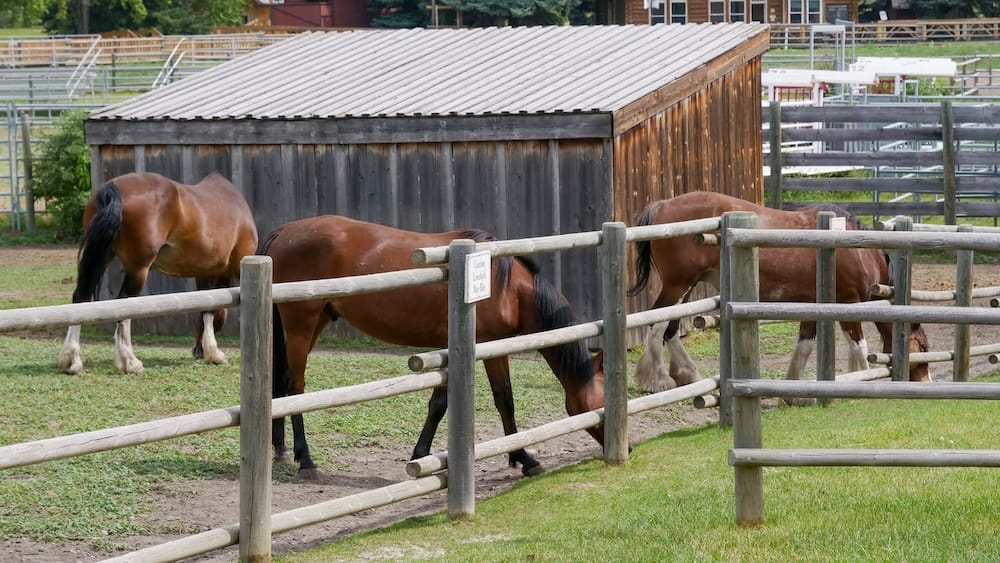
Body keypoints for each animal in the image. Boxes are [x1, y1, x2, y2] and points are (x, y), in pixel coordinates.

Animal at [58, 172, 258, 375]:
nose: (197, 351)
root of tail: (113, 187)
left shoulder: (202, 273)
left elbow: (206, 308)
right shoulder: (225, 272)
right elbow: (214, 308)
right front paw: (215, 353)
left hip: (101, 254)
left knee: (81, 297)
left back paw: (72, 361)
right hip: (138, 269)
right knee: (124, 304)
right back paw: (130, 362)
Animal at [261, 215, 606, 477]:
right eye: (598, 404)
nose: (616, 448)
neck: (504, 286)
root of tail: (284, 231)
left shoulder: (494, 349)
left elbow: (503, 399)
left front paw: (520, 457)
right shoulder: (471, 348)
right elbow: (448, 404)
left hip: (316, 321)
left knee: (282, 382)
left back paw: (280, 449)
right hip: (302, 323)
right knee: (296, 387)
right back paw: (305, 458)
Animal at [628, 191, 930, 392]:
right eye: (924, 347)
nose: (928, 381)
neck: (857, 251)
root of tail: (663, 205)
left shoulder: (814, 305)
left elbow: (805, 345)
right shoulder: (848, 303)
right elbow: (859, 347)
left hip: (687, 288)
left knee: (671, 329)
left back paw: (687, 374)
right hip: (678, 285)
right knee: (657, 324)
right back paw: (656, 380)